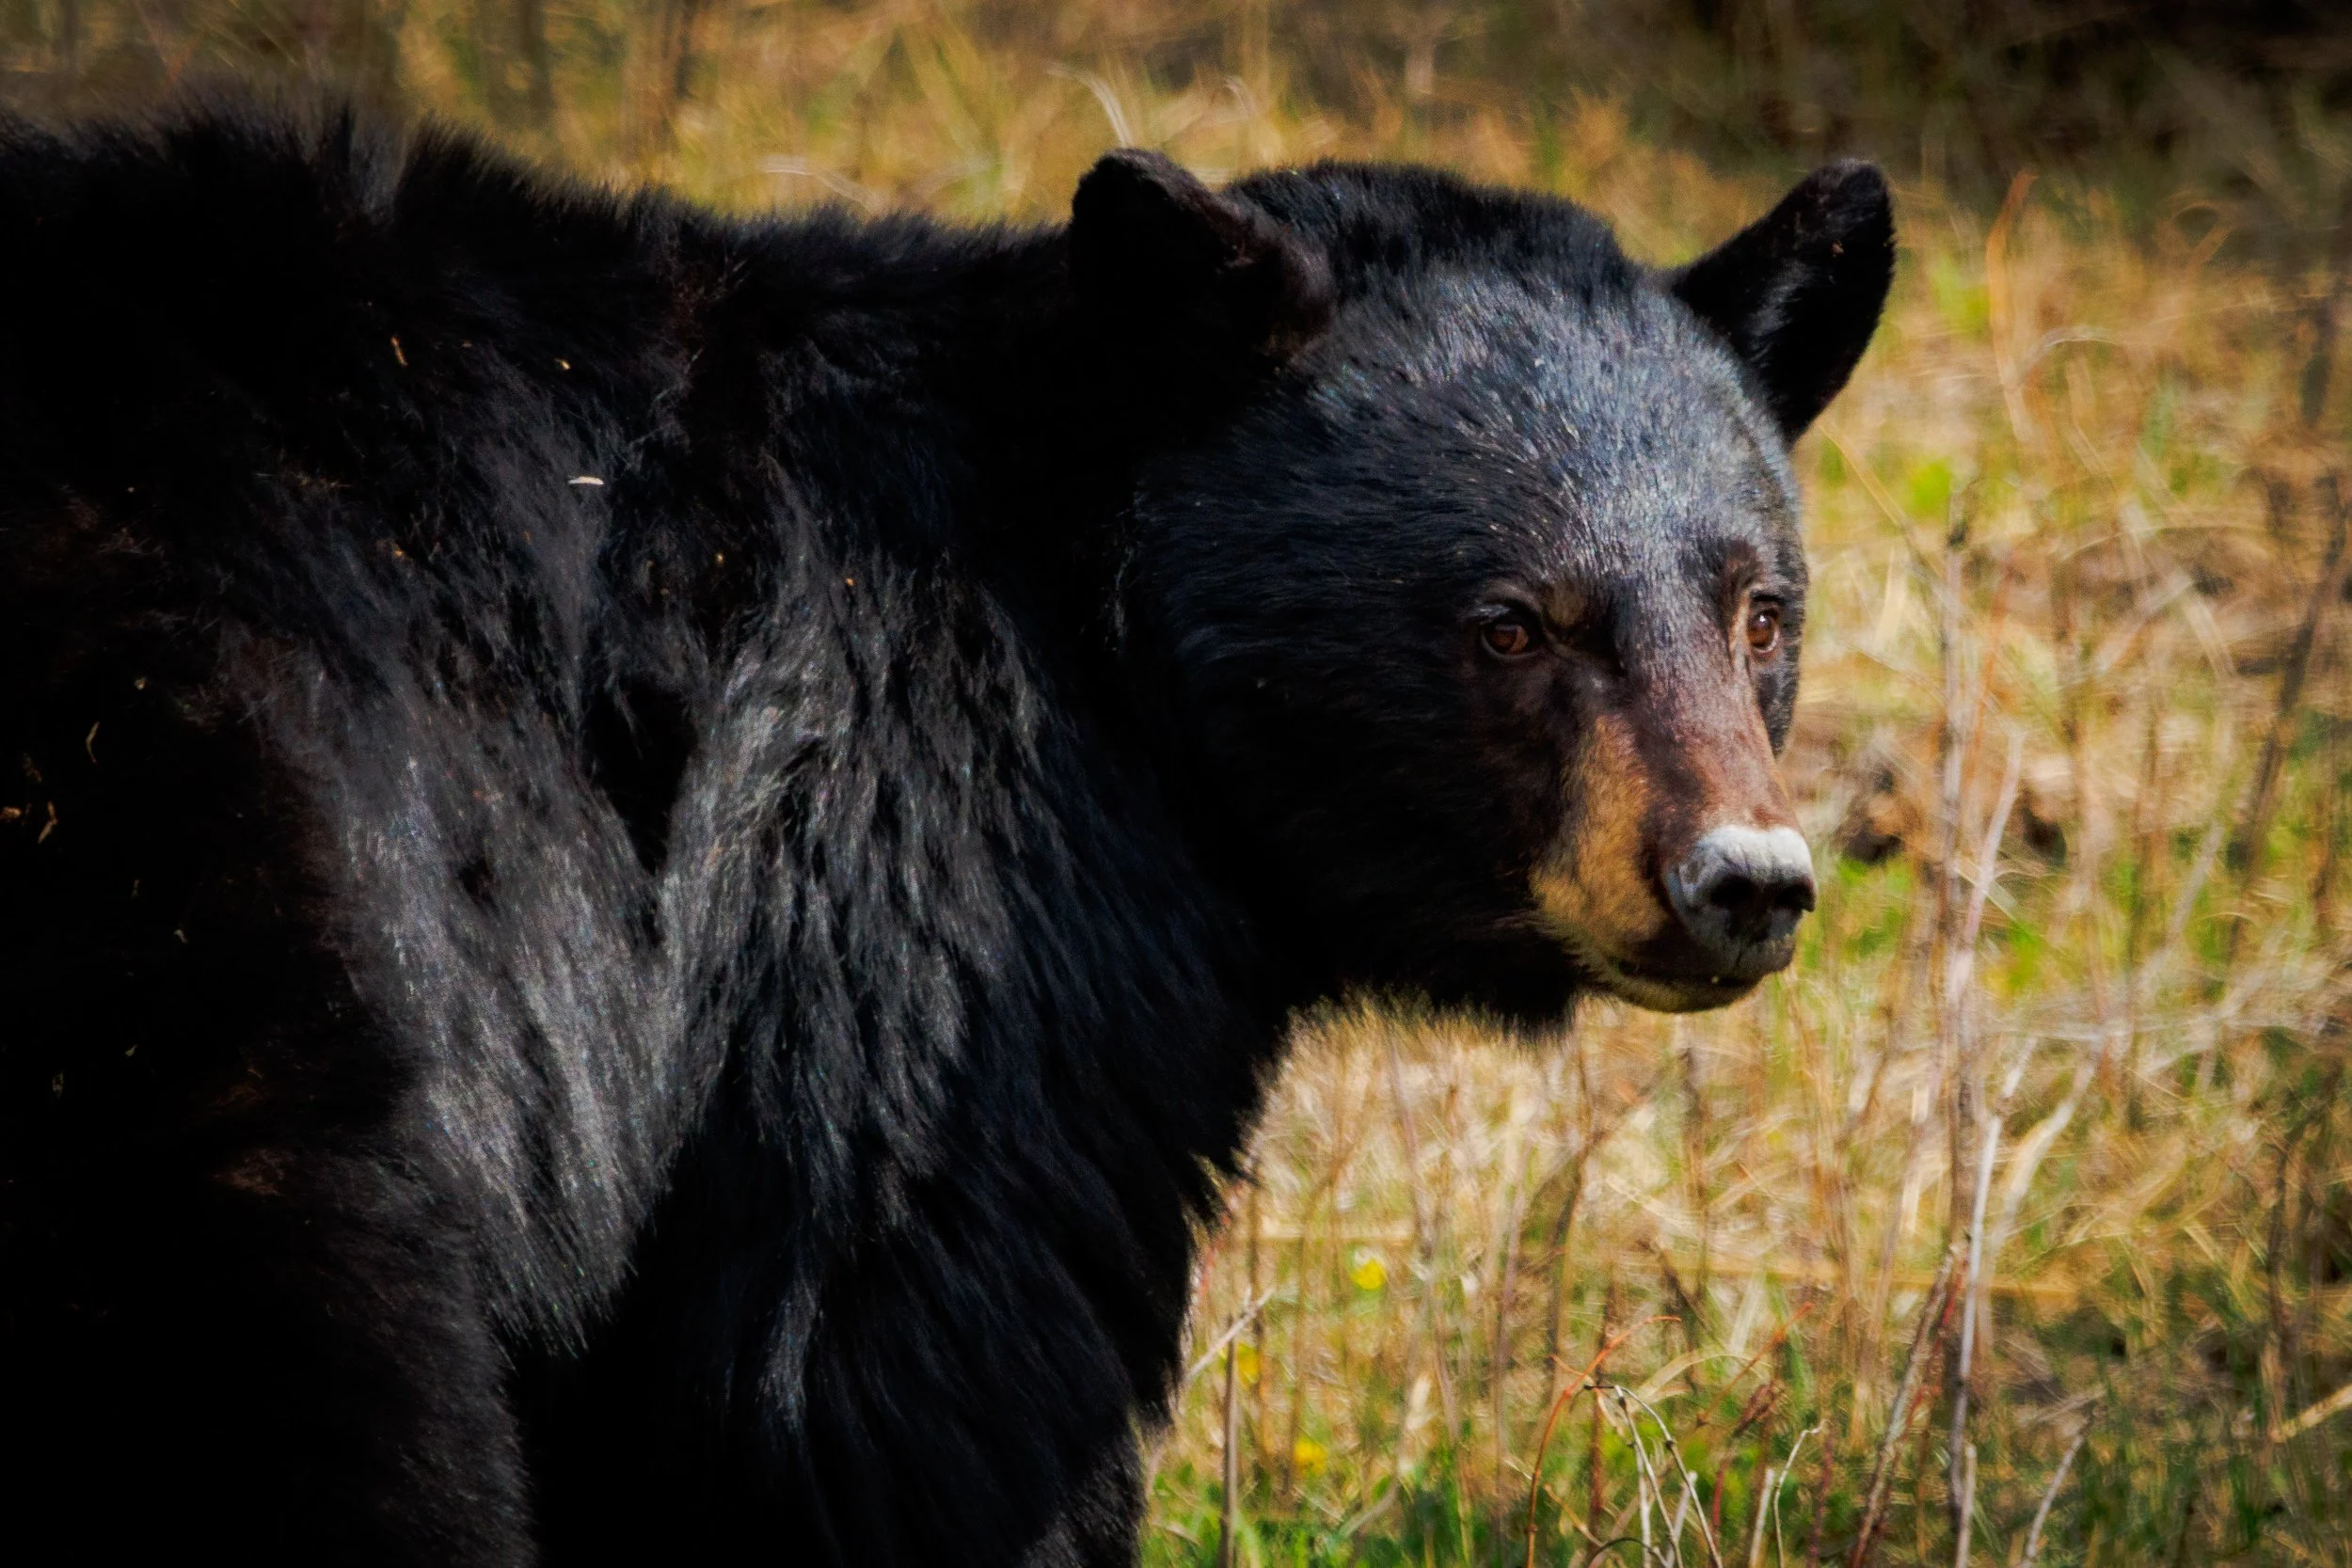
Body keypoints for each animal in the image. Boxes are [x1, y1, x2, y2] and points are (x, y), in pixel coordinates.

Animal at [0, 100, 1890, 1565]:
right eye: (1513, 624)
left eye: (1759, 610)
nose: (1742, 882)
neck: (1107, 620)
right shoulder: (914, 905)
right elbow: (891, 1378)